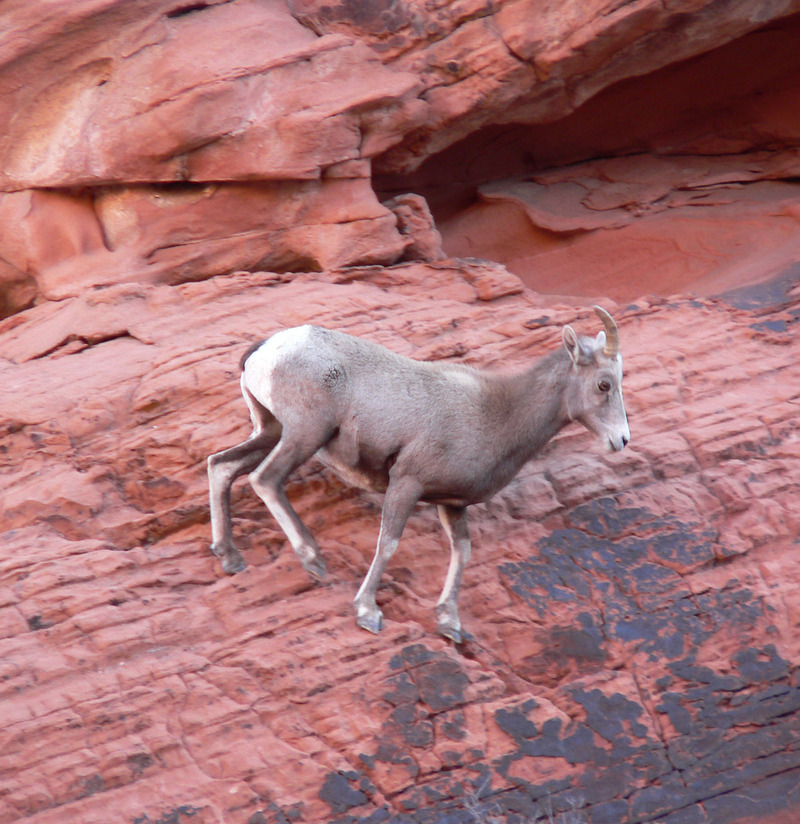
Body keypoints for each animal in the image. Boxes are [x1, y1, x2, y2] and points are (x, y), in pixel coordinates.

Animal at [206, 306, 632, 640]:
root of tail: (267, 349)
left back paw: (230, 558)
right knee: (265, 480)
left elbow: (462, 552)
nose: (622, 440)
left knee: (220, 465)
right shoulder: (407, 483)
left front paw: (450, 624)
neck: (496, 413)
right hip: (304, 436)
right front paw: (368, 613)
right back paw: (312, 559)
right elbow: (389, 542)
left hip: (270, 432)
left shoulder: (452, 505)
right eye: (603, 385)